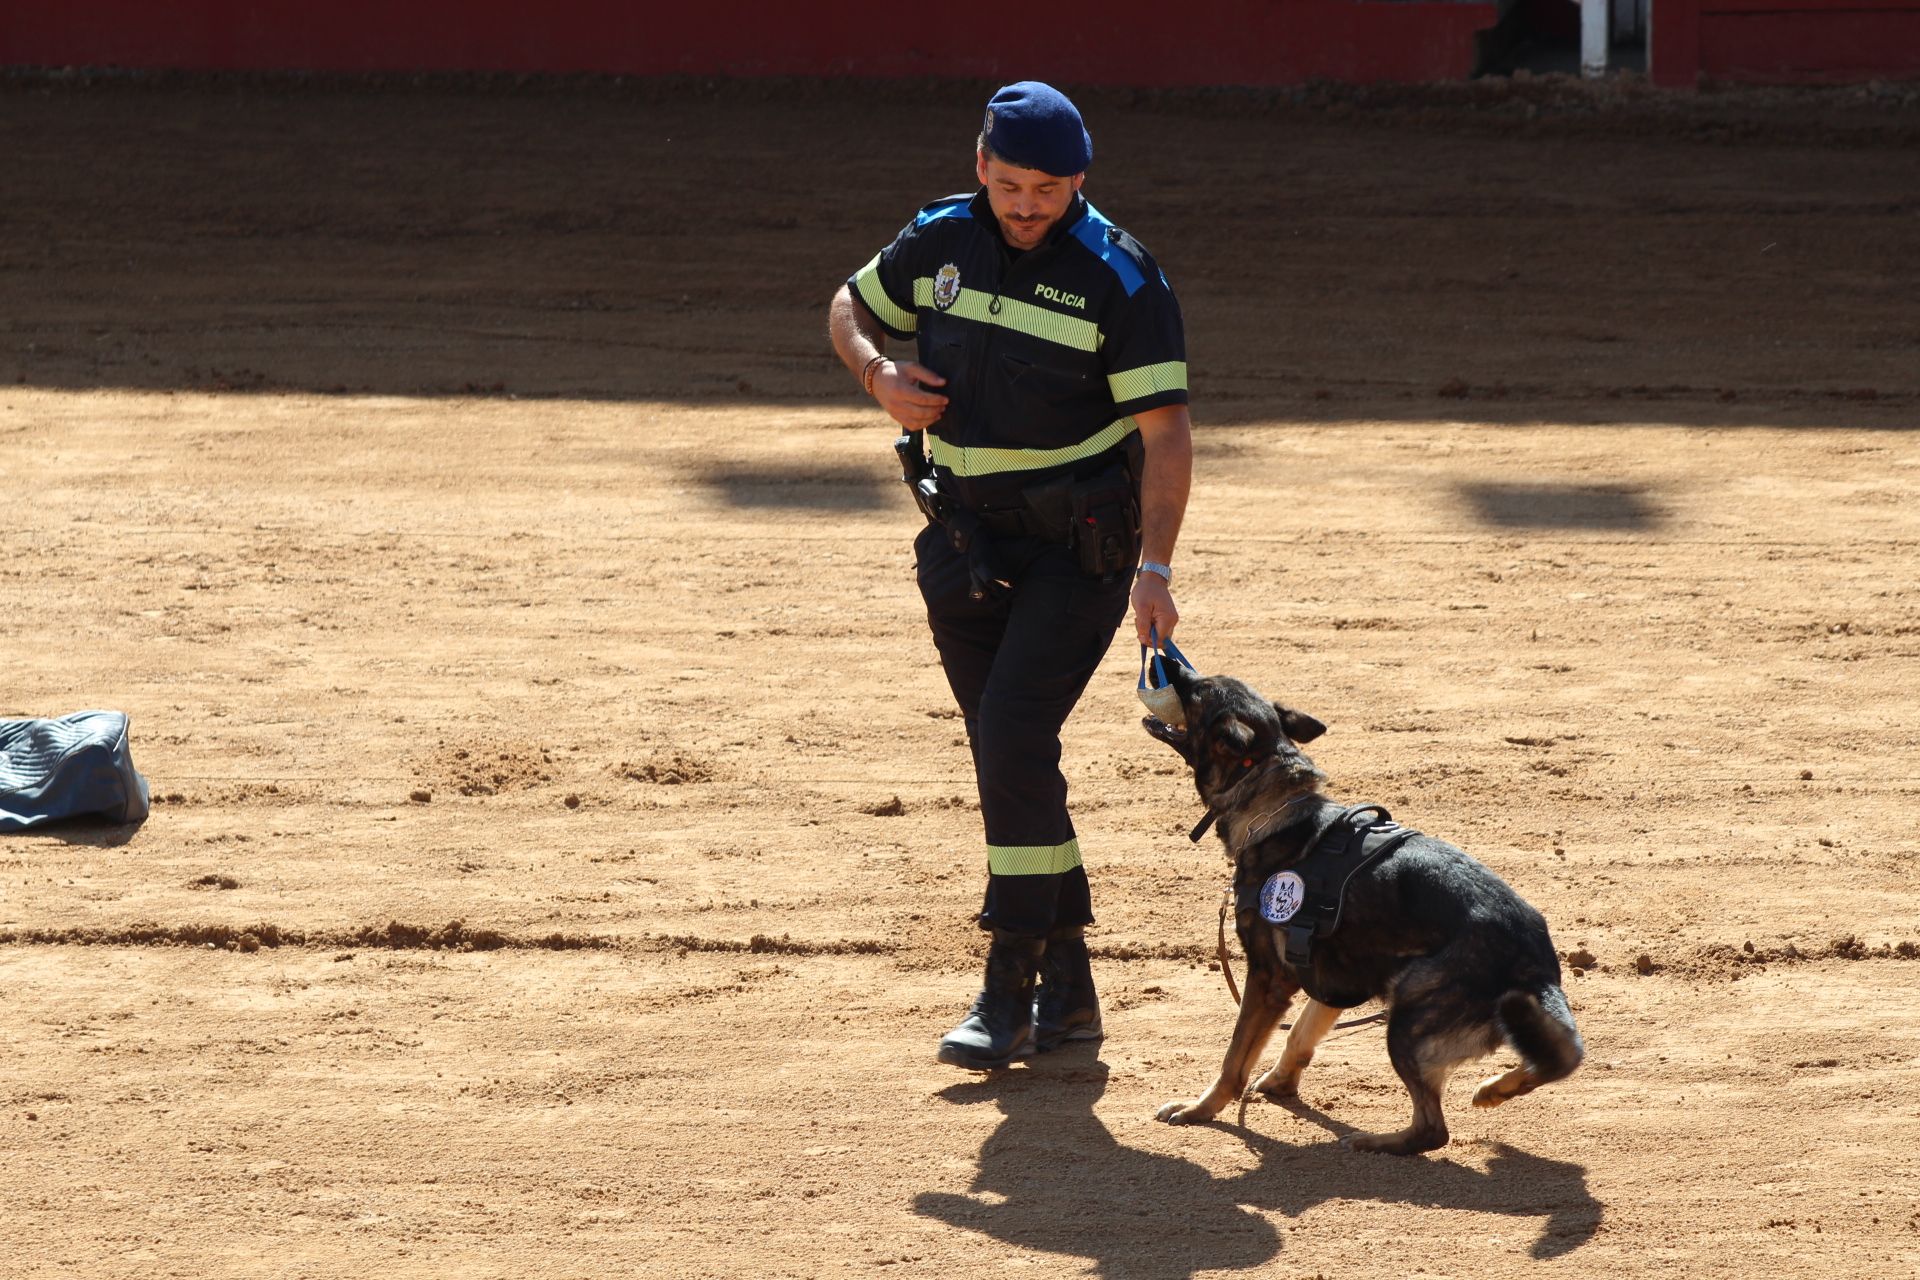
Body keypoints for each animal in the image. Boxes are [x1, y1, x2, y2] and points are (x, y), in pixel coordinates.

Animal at [1144, 667, 1582, 1159]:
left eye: (1199, 691)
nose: (1170, 666)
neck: (1271, 807)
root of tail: (1536, 963)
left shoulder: (1267, 980)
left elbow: (1233, 1059)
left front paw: (1200, 1109)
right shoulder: (1328, 980)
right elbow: (1299, 1036)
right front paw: (1280, 1082)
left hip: (1407, 1019)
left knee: (1433, 1129)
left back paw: (1377, 1141)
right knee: (1560, 1054)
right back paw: (1497, 1088)